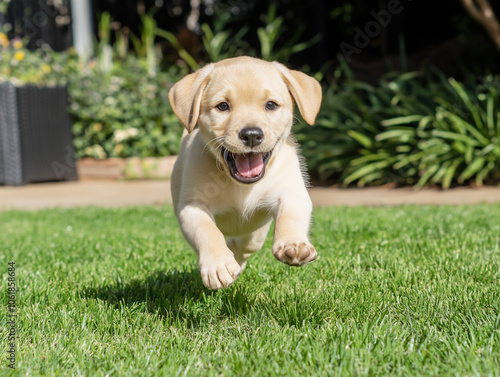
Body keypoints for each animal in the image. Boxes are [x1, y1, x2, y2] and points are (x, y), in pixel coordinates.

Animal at [170, 55, 322, 290]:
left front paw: (294, 243)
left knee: (249, 243)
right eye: (222, 106)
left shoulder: (292, 194)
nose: (251, 134)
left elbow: (290, 218)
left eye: (271, 105)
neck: (240, 185)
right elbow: (208, 230)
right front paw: (218, 264)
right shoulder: (192, 208)